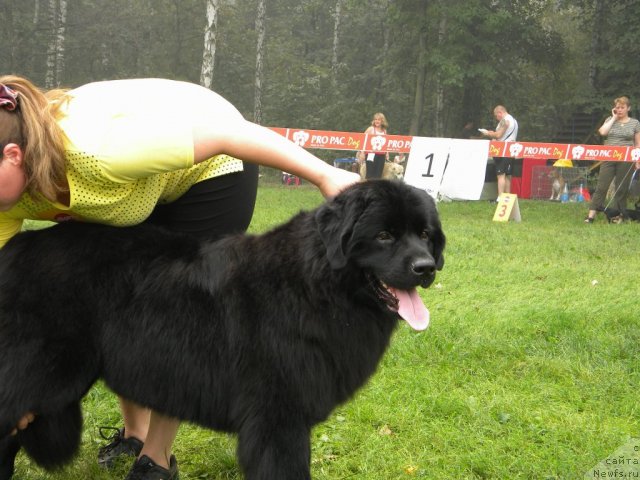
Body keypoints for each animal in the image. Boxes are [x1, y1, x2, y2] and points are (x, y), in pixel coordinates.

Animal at [0, 180, 444, 480]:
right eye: (383, 235)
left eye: (425, 234)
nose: (426, 267)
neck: (315, 286)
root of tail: (15, 248)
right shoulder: (277, 417)